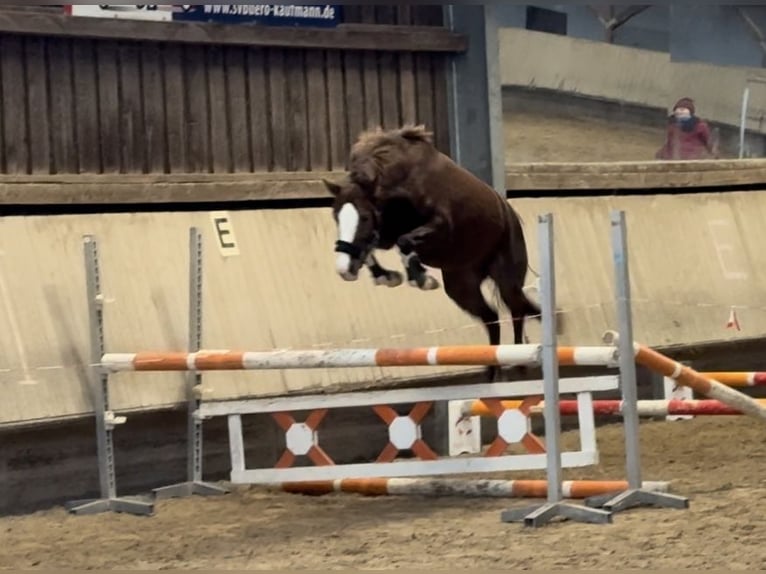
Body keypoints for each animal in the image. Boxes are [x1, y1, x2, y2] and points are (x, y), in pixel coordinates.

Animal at [324, 125, 552, 382]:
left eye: (363, 217)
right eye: (336, 216)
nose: (344, 270)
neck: (402, 180)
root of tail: (510, 212)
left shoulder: (440, 226)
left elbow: (405, 242)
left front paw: (421, 278)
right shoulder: (386, 234)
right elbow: (375, 248)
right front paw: (388, 277)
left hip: (507, 279)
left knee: (516, 310)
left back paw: (520, 362)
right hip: (461, 286)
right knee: (491, 317)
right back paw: (492, 372)